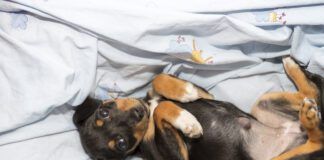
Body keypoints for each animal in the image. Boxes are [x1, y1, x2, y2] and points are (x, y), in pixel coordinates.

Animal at [73, 57, 324, 159]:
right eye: (122, 144)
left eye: (104, 112)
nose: (138, 113)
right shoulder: (177, 156)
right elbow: (162, 109)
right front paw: (188, 123)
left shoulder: (206, 94)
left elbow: (158, 80)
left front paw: (185, 92)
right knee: (317, 140)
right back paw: (310, 119)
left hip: (263, 103)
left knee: (312, 94)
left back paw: (291, 66)